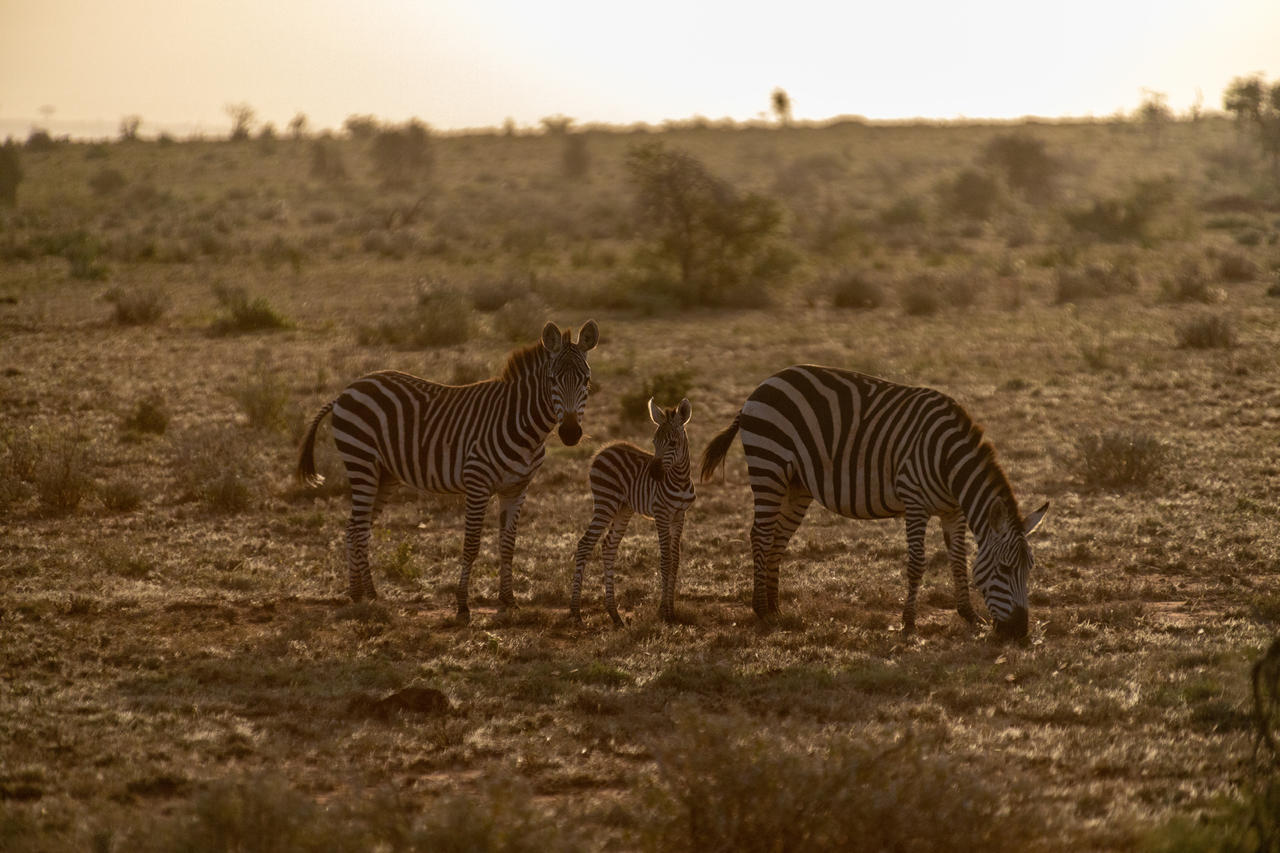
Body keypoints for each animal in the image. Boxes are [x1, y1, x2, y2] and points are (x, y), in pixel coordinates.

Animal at [298, 318, 599, 617]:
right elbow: (471, 545)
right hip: (361, 462)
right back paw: (365, 596)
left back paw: (363, 595)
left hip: (384, 476)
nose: (570, 433)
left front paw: (508, 600)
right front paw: (463, 605)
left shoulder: (516, 488)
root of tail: (347, 390)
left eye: (586, 380)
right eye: (552, 380)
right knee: (358, 528)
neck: (524, 426)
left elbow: (507, 545)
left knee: (355, 528)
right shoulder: (477, 484)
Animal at [570, 394, 696, 622]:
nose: (654, 473)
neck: (680, 480)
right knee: (585, 544)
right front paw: (664, 612)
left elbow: (675, 560)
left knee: (609, 547)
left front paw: (671, 611)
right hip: (605, 503)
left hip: (623, 508)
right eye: (654, 442)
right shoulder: (661, 514)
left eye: (673, 443)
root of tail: (603, 450)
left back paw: (614, 614)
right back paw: (575, 612)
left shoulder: (679, 515)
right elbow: (665, 560)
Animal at [701, 366, 1049, 637]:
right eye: (1005, 569)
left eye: (1029, 569)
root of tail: (763, 385)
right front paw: (908, 623)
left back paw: (775, 608)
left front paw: (969, 615)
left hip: (796, 485)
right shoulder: (915, 502)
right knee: (760, 535)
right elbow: (917, 563)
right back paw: (760, 609)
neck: (949, 461)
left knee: (777, 538)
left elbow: (959, 560)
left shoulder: (953, 511)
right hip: (768, 466)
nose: (1019, 633)